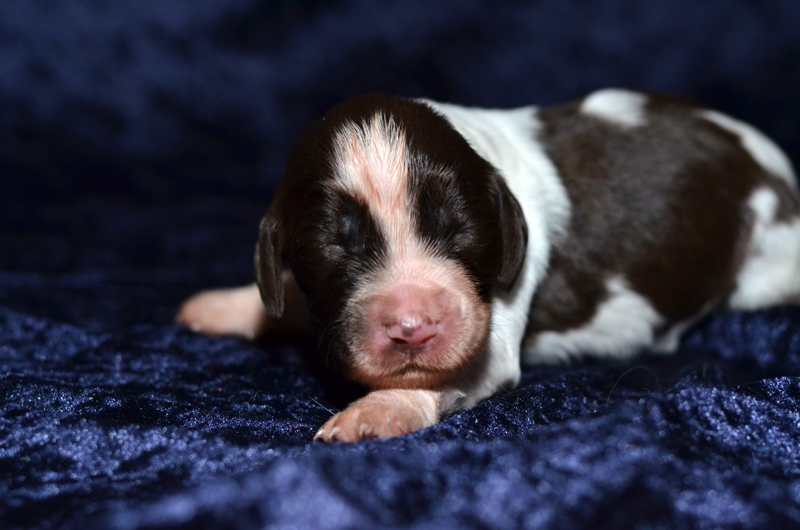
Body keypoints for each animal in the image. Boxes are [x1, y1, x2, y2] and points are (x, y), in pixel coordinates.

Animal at [178, 87, 800, 442]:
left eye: (460, 230)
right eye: (334, 248)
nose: (412, 329)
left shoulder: (490, 338)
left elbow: (442, 375)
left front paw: (371, 412)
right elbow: (284, 294)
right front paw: (224, 306)